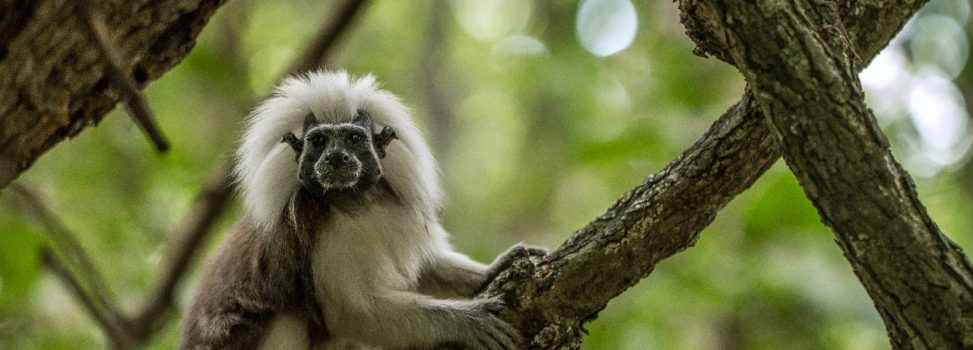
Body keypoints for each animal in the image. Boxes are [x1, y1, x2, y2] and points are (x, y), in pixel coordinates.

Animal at [181, 69, 544, 348]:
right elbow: (350, 313)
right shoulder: (322, 232)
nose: (336, 158)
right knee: (289, 319)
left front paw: (493, 269)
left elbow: (423, 269)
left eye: (353, 139)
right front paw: (466, 322)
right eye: (319, 142)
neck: (352, 202)